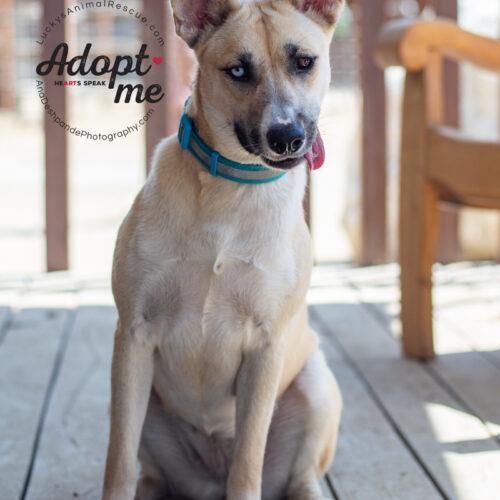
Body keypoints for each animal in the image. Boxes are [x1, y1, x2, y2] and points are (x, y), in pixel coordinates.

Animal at [101, 1, 344, 498]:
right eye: (237, 71)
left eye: (304, 62)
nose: (287, 136)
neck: (231, 192)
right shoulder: (133, 335)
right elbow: (118, 463)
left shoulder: (266, 348)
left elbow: (248, 464)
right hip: (143, 404)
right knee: (147, 472)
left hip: (315, 385)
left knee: (302, 477)